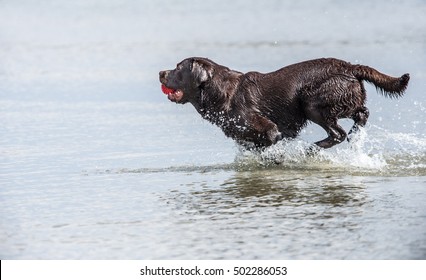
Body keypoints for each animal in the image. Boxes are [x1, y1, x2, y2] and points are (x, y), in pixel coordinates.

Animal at [158, 56, 408, 149]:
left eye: (178, 68)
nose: (161, 72)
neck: (219, 92)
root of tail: (349, 66)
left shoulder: (269, 129)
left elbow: (269, 143)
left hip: (312, 104)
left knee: (338, 133)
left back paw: (312, 148)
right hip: (343, 99)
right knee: (362, 113)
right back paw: (355, 135)